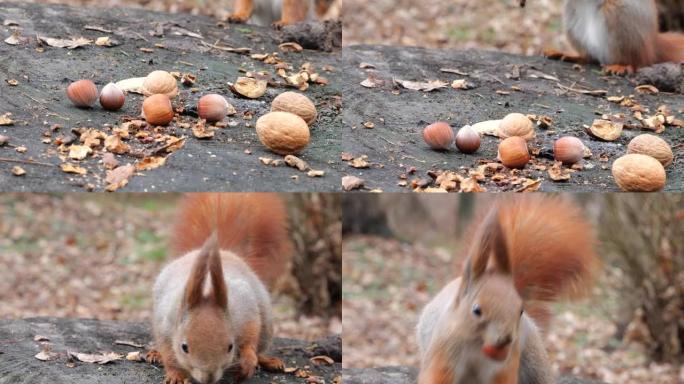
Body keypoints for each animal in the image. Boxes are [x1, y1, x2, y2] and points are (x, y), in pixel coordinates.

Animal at [147, 195, 292, 384]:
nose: (208, 377)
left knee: (260, 348)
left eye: (230, 346)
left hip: (267, 326)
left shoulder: (245, 310)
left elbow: (250, 338)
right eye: (184, 347)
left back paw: (269, 361)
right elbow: (169, 354)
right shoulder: (165, 325)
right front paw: (175, 374)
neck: (207, 291)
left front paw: (247, 363)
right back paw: (155, 354)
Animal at [414, 198, 596, 384]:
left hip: (533, 359)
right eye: (476, 310)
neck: (477, 345)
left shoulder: (505, 363)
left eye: (521, 310)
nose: (506, 339)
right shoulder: (445, 350)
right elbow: (438, 376)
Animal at [528, 0, 684, 74]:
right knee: (589, 57)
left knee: (639, 61)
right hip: (572, 16)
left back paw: (621, 66)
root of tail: (653, 42)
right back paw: (569, 55)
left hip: (620, 17)